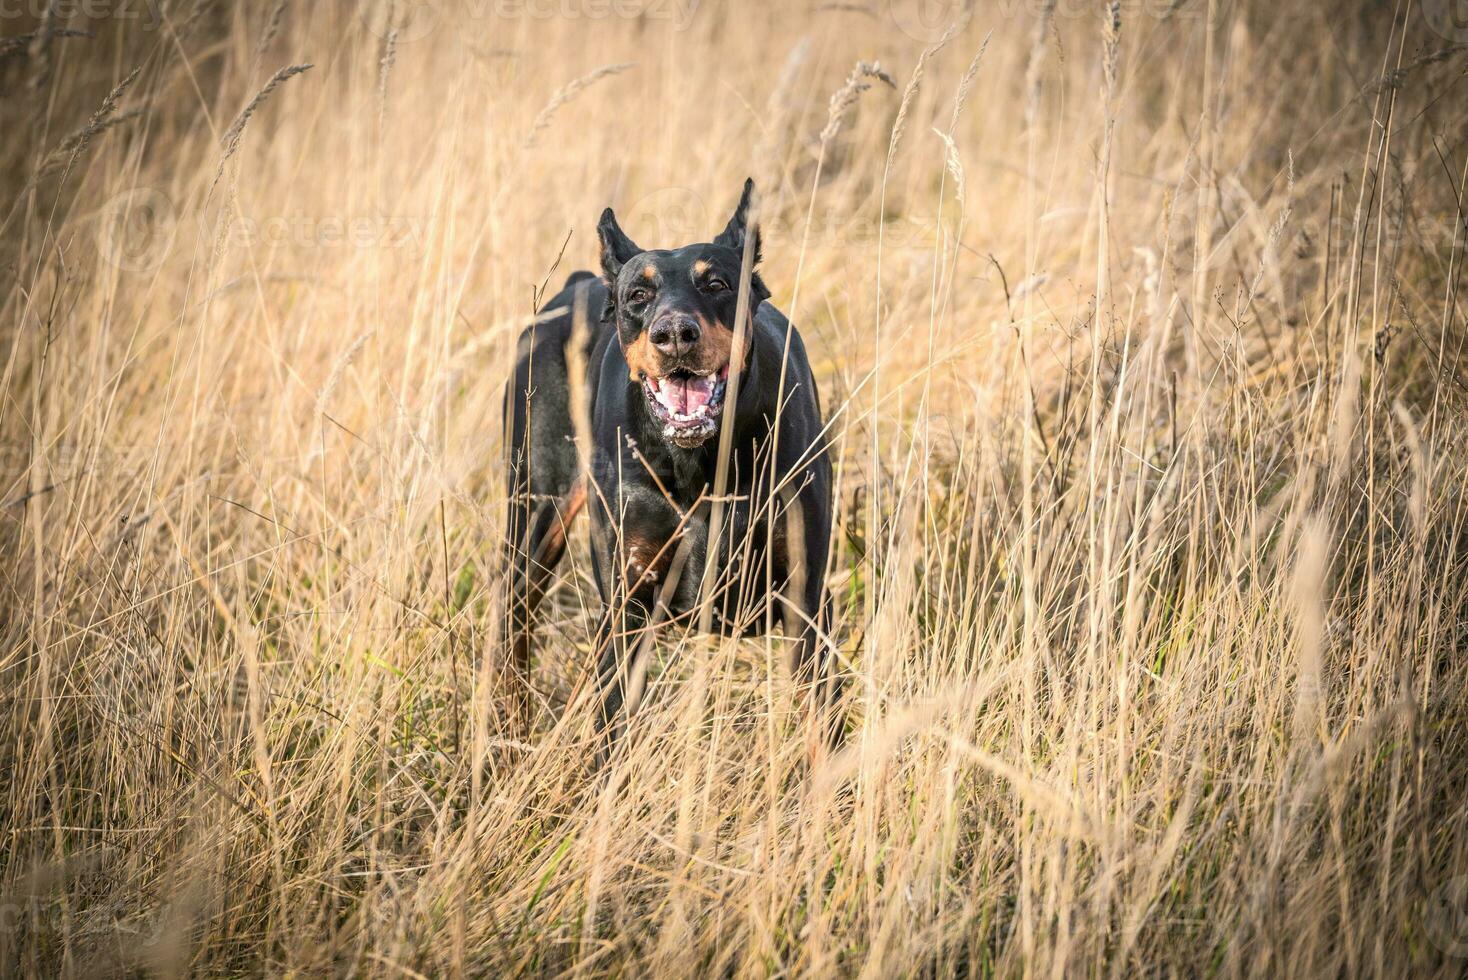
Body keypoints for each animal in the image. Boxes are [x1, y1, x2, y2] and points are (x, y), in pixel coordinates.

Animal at [507, 178, 839, 757]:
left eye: (717, 284)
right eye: (638, 297)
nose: (675, 334)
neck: (697, 461)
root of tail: (575, 285)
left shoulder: (806, 598)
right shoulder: (627, 608)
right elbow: (614, 729)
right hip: (534, 515)